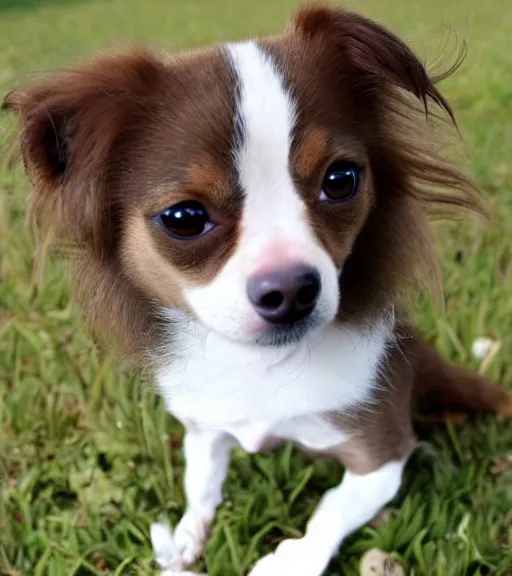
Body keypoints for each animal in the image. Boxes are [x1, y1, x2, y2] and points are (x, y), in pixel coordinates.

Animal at [5, 5, 512, 576]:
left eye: (341, 180)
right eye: (184, 217)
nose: (290, 290)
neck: (263, 366)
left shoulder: (381, 454)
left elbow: (332, 508)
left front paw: (293, 561)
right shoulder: (205, 428)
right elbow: (202, 485)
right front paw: (186, 537)